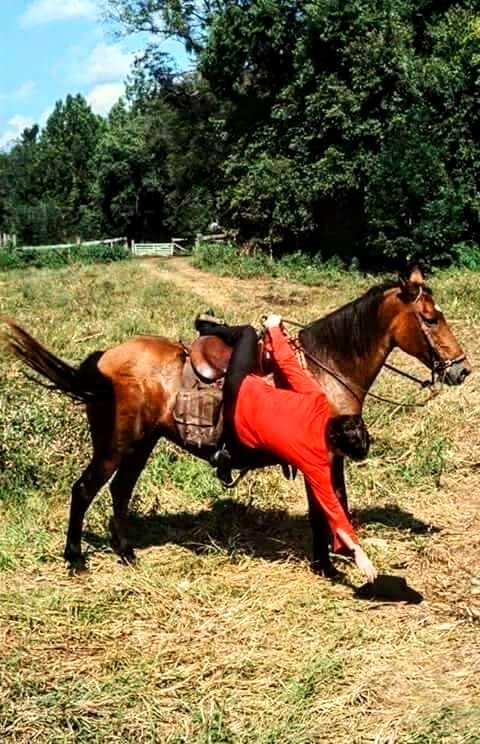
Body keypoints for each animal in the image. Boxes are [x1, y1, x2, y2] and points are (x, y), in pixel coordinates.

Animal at [2, 268, 468, 576]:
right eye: (431, 318)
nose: (461, 369)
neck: (327, 367)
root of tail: (104, 359)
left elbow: (338, 501)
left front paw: (338, 552)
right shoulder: (320, 455)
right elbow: (324, 506)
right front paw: (327, 563)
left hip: (141, 444)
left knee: (119, 492)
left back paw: (126, 552)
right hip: (114, 445)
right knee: (84, 490)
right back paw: (75, 558)